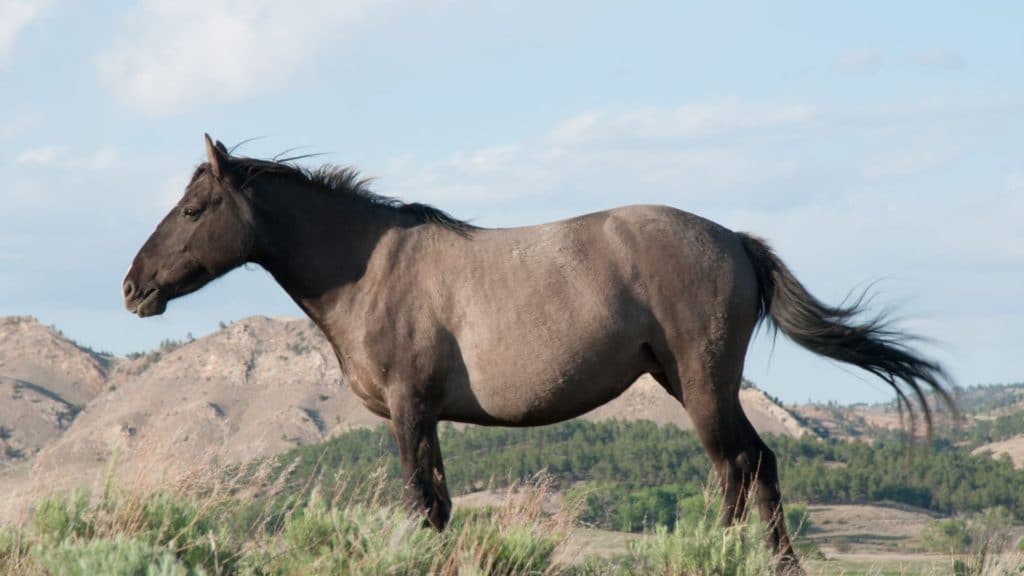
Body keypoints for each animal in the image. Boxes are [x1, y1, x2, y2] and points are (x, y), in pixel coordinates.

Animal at [125, 134, 950, 569]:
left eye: (195, 209)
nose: (135, 287)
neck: (372, 265)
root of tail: (736, 242)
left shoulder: (410, 410)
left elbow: (422, 504)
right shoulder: (424, 418)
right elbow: (439, 505)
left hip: (703, 385)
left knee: (738, 467)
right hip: (687, 381)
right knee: (759, 465)